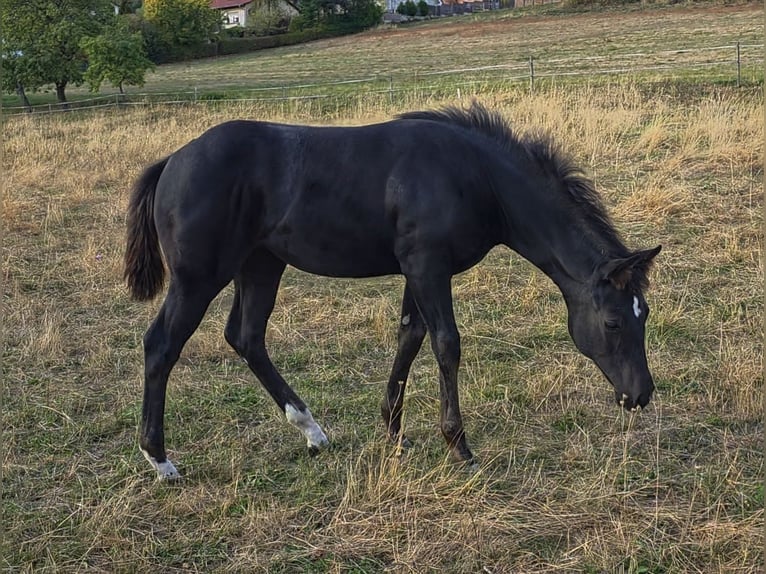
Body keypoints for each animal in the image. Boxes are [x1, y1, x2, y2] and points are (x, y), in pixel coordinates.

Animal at [124, 102, 661, 481]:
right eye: (613, 321)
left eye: (645, 314)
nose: (640, 395)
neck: (474, 175)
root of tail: (172, 161)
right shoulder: (428, 266)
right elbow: (446, 343)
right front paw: (458, 445)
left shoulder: (416, 270)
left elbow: (410, 335)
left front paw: (393, 430)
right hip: (198, 277)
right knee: (161, 345)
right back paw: (160, 460)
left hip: (260, 265)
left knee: (246, 337)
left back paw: (312, 432)